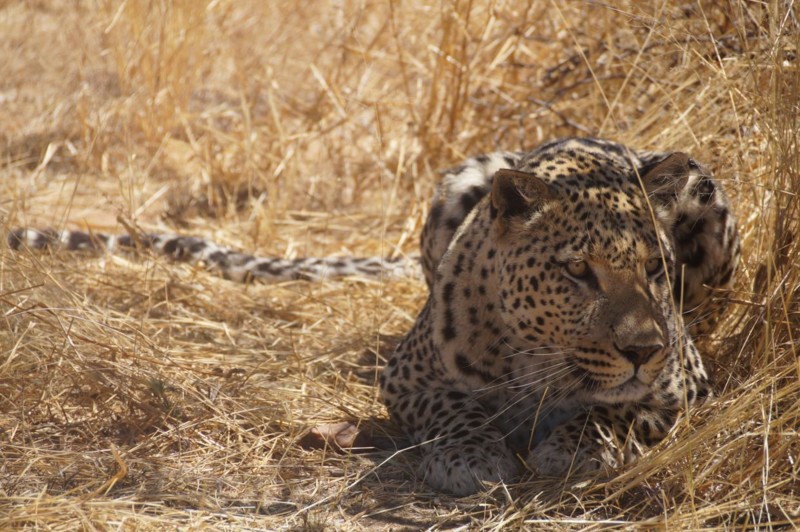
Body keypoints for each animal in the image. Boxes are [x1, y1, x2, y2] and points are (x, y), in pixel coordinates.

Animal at [7, 136, 744, 494]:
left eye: (656, 269)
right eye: (577, 272)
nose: (643, 349)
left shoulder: (683, 379)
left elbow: (618, 406)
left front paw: (580, 443)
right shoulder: (409, 378)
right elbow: (455, 409)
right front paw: (471, 457)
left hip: (709, 194)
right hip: (459, 180)